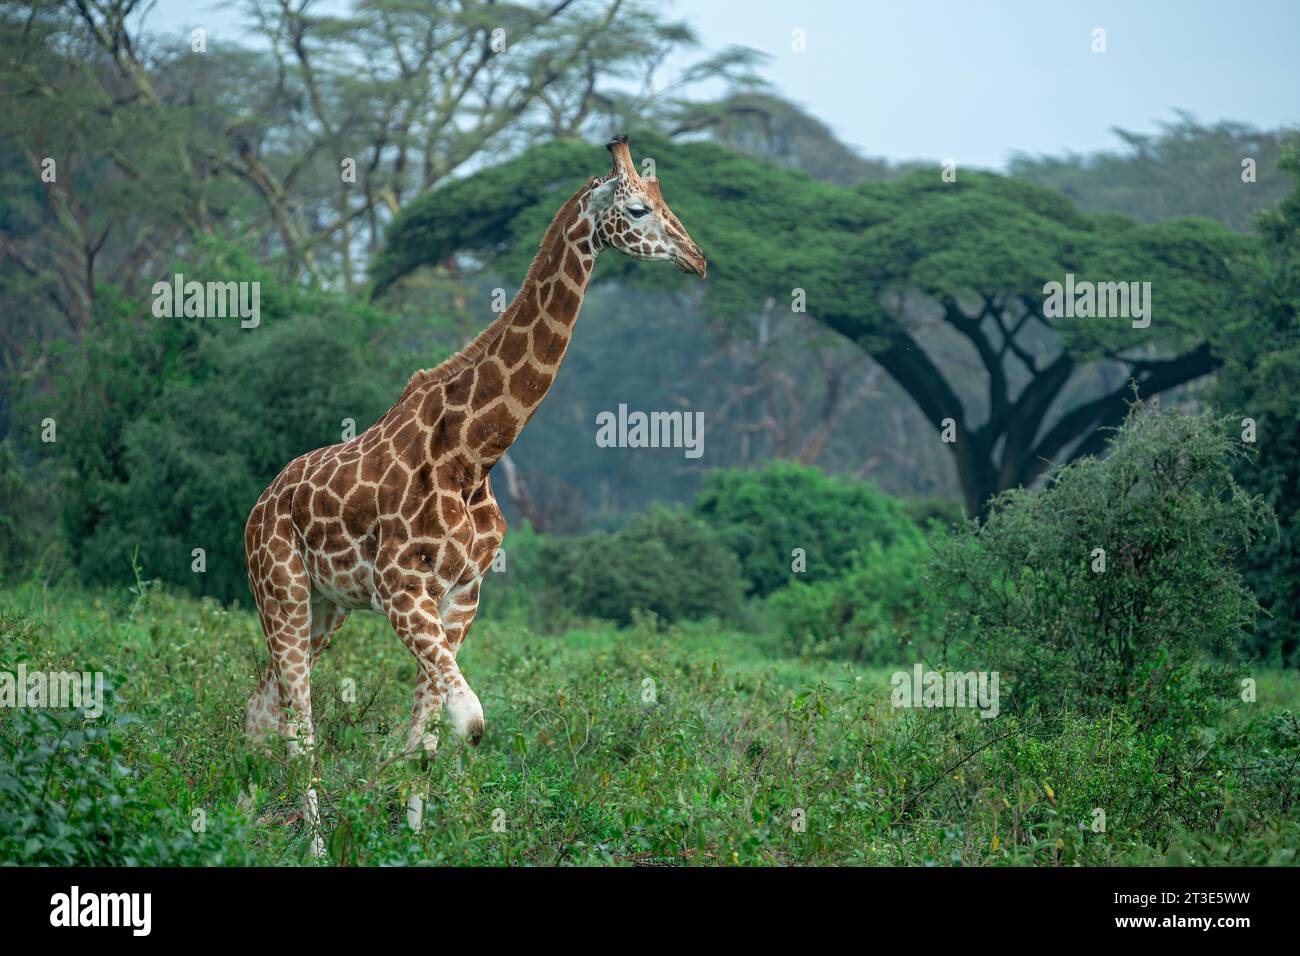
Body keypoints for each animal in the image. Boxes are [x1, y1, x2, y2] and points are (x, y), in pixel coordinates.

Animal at [242, 134, 706, 850]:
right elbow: (469, 723)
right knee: (299, 726)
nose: (697, 258)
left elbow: (429, 739)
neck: (476, 453)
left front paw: (410, 840)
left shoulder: (462, 594)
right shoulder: (401, 587)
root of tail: (259, 506)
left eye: (665, 201)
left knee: (263, 708)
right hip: (283, 589)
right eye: (637, 207)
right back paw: (312, 843)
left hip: (325, 607)